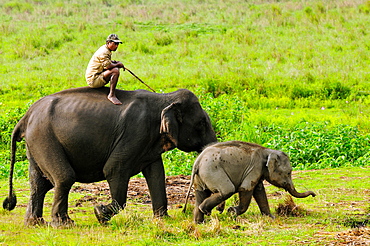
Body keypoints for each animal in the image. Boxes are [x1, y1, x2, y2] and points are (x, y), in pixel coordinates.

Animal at [2, 86, 217, 227]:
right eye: (201, 124)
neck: (164, 99)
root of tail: (25, 116)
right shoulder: (135, 132)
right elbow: (114, 169)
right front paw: (99, 213)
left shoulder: (149, 142)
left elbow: (156, 173)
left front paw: (163, 220)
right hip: (44, 138)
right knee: (63, 178)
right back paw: (65, 224)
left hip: (36, 143)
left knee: (39, 184)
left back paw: (35, 224)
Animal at [182, 140, 316, 223]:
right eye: (288, 173)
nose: (314, 195)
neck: (267, 151)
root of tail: (197, 162)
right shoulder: (254, 168)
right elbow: (246, 189)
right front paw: (232, 212)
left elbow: (260, 192)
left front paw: (271, 218)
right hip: (212, 171)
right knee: (227, 190)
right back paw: (206, 210)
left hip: (200, 177)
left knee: (201, 194)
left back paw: (199, 222)